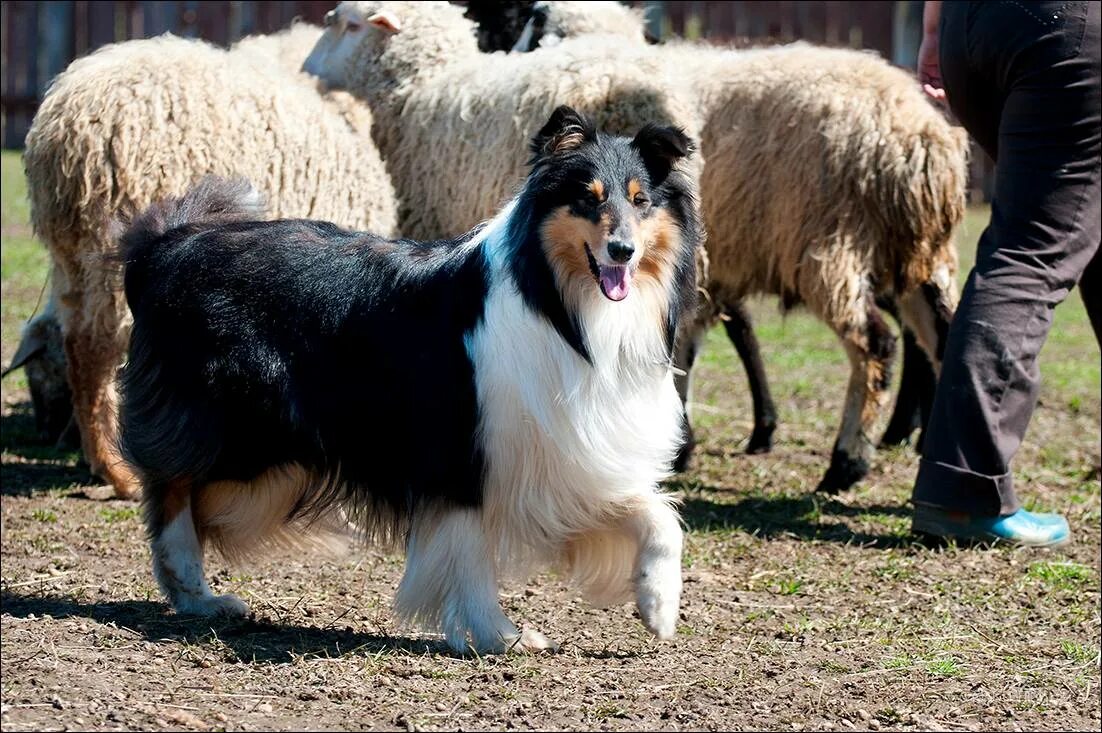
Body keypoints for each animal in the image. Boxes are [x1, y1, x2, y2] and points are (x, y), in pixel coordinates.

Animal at [24, 30, 401, 498]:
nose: (45, 436)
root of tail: (65, 124)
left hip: (72, 257)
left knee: (77, 344)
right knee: (96, 351)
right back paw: (119, 473)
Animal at [116, 104, 700, 652]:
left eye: (641, 200)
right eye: (587, 198)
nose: (622, 250)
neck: (560, 305)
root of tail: (167, 246)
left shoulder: (564, 460)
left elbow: (657, 517)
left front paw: (659, 605)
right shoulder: (459, 454)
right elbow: (469, 555)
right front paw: (498, 636)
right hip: (241, 430)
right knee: (170, 489)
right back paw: (196, 593)